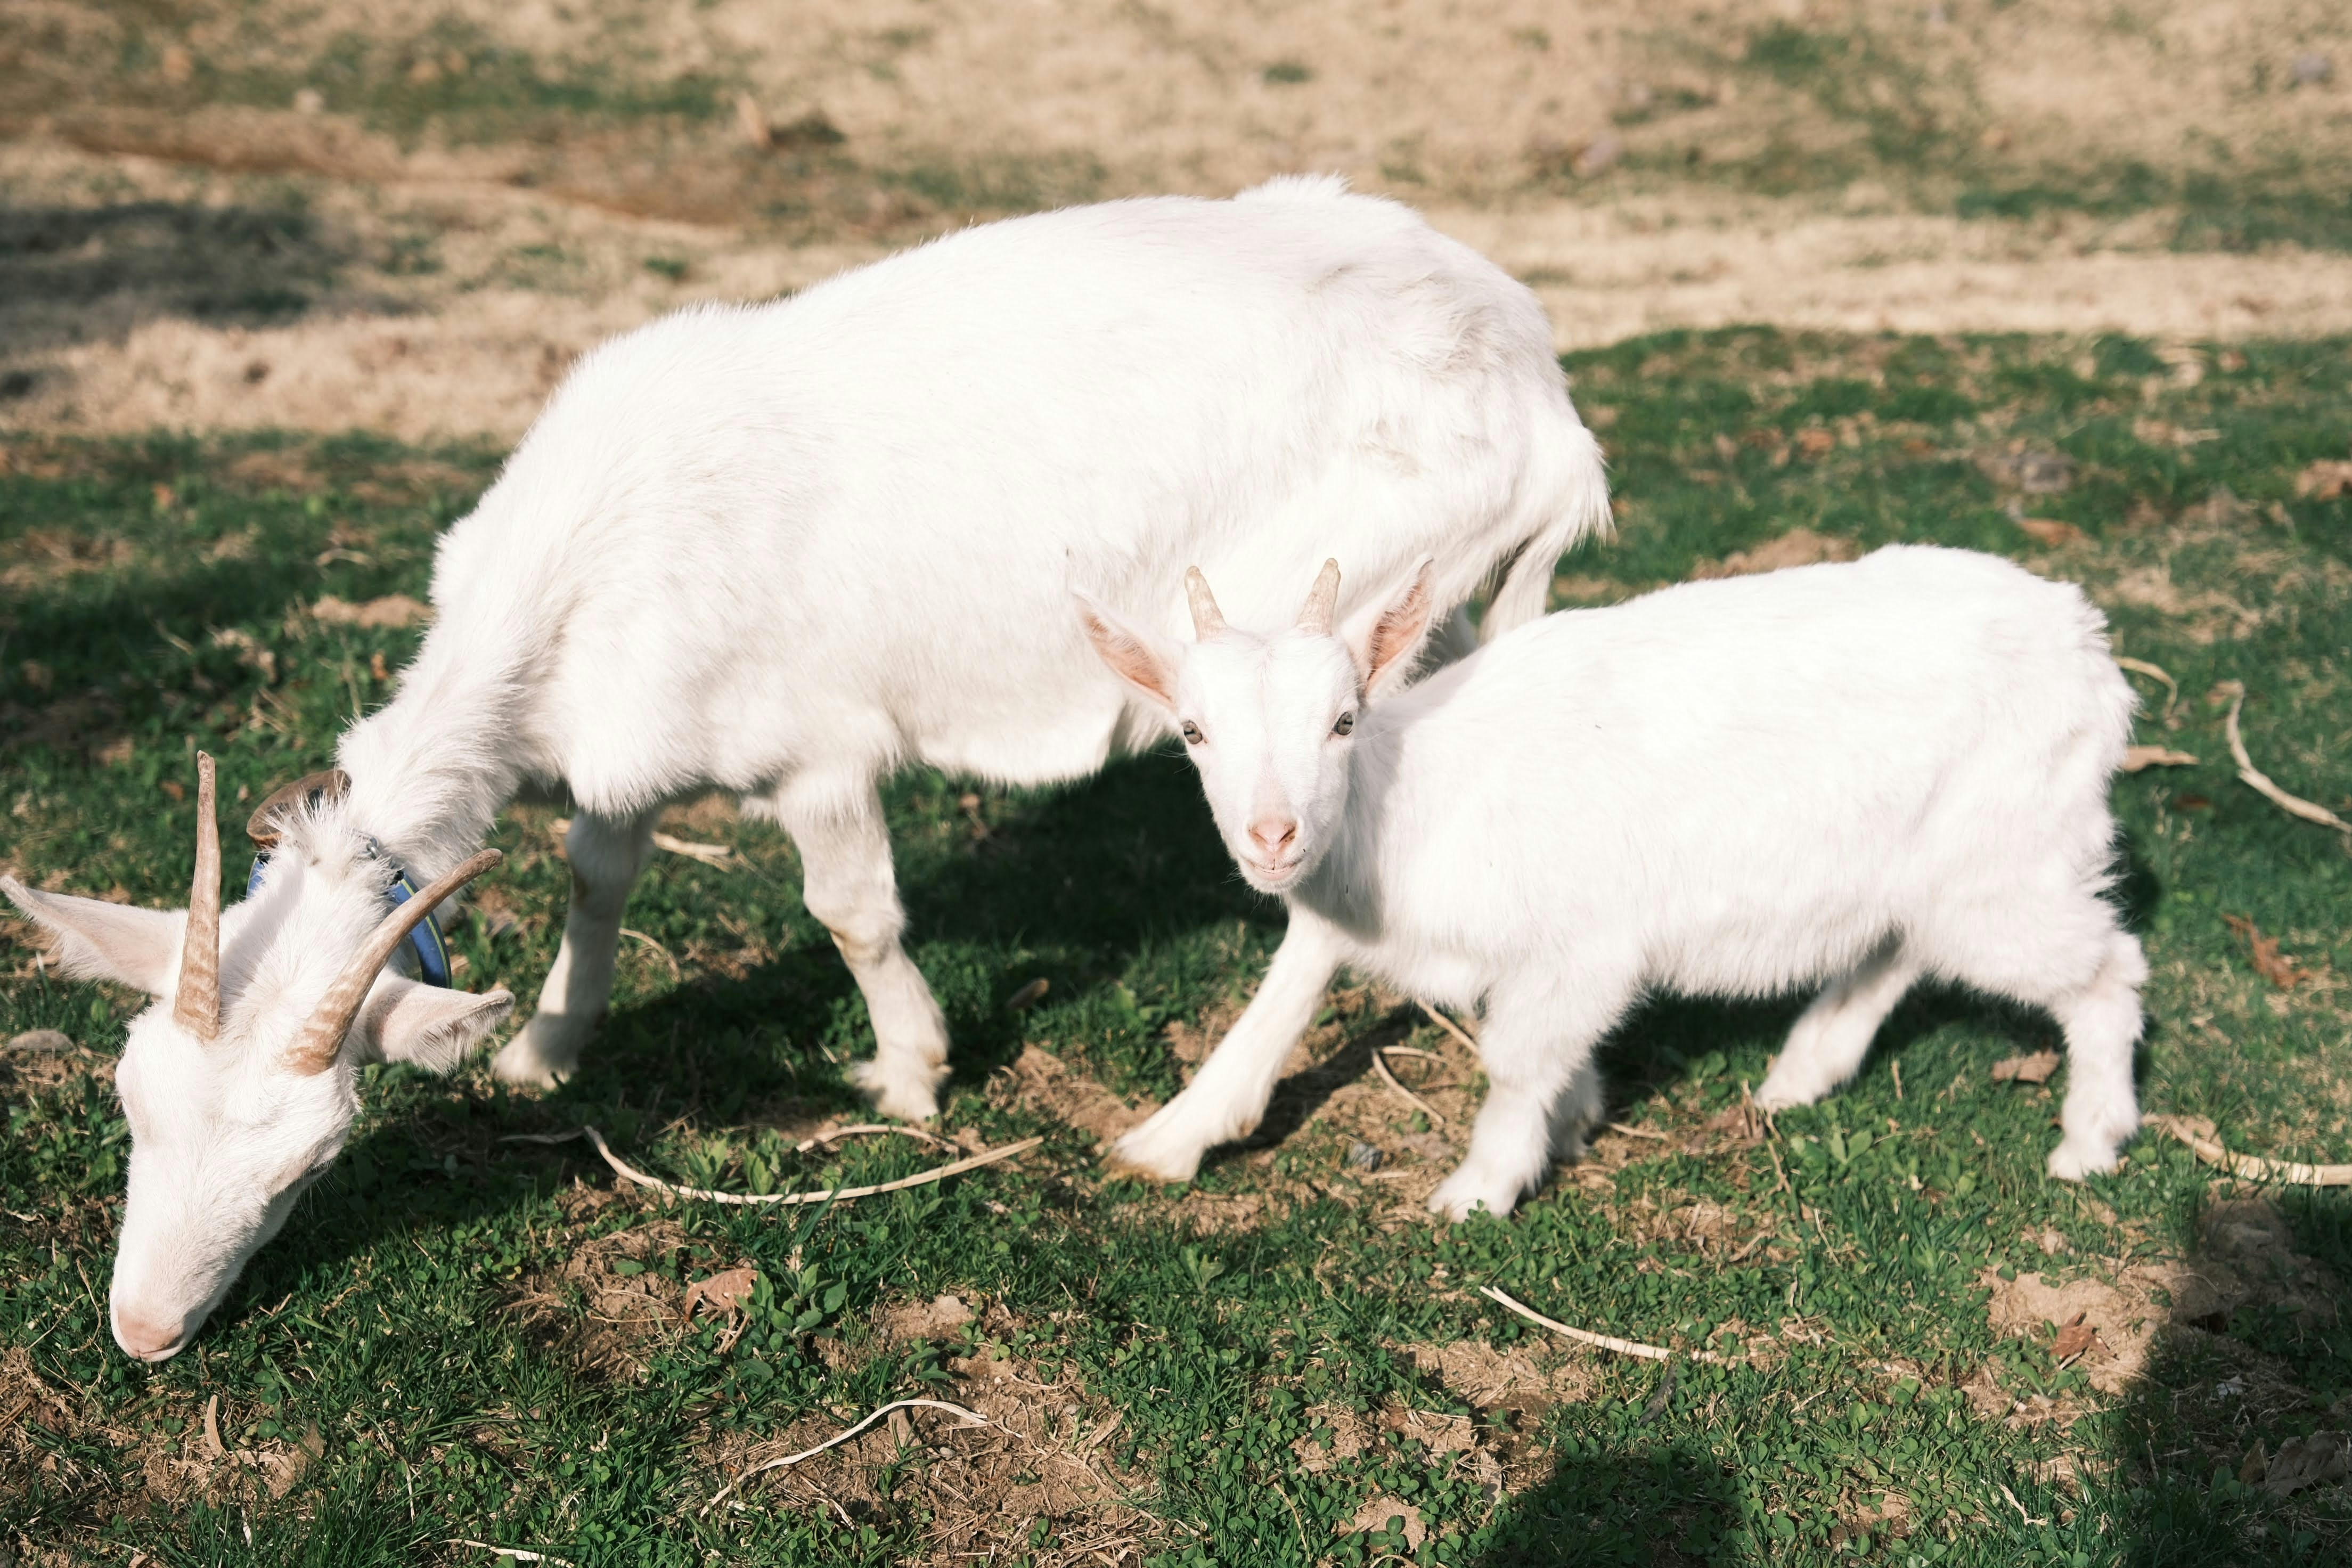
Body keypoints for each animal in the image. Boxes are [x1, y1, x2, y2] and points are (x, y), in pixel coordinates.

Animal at [1, 176, 1609, 1356]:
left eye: (312, 1160)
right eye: (132, 1101)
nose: (144, 1331)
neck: (581, 567)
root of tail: (1545, 395)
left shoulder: (816, 748)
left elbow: (851, 911)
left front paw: (907, 1072)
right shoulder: (620, 753)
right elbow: (596, 877)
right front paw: (545, 1049)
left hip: (1341, 630)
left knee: (1327, 883)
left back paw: (1185, 1128)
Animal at [1079, 546, 2145, 1219]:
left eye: (1344, 719)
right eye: (1192, 731)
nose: (1273, 835)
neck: (1403, 794)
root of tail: (2089, 642)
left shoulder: (1579, 946)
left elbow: (1514, 1062)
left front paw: (1480, 1189)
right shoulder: (1354, 916)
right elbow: (1275, 1005)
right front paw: (1166, 1140)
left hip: (2013, 856)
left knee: (2107, 972)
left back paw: (2089, 1141)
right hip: (1932, 863)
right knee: (1894, 951)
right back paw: (1800, 1075)